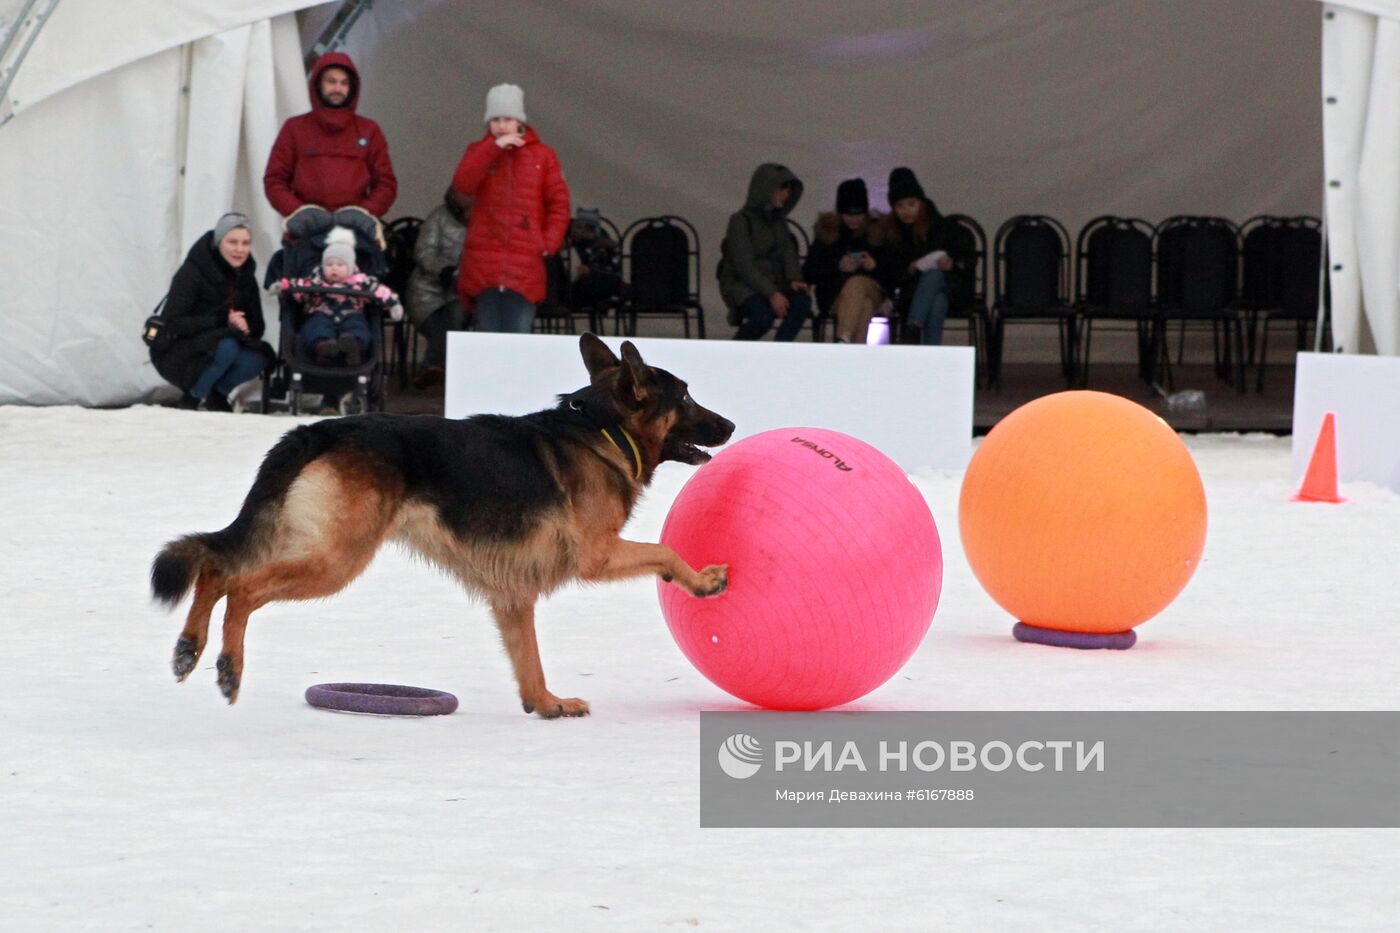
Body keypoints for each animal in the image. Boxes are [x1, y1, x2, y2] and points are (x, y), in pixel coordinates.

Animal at [150, 334, 733, 717]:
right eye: (684, 397)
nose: (730, 425)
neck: (604, 429)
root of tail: (317, 430)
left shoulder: (513, 597)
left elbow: (530, 660)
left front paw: (545, 703)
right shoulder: (599, 553)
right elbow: (664, 551)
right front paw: (702, 581)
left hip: (305, 541)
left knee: (215, 566)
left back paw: (188, 650)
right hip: (334, 560)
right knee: (242, 587)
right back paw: (229, 666)